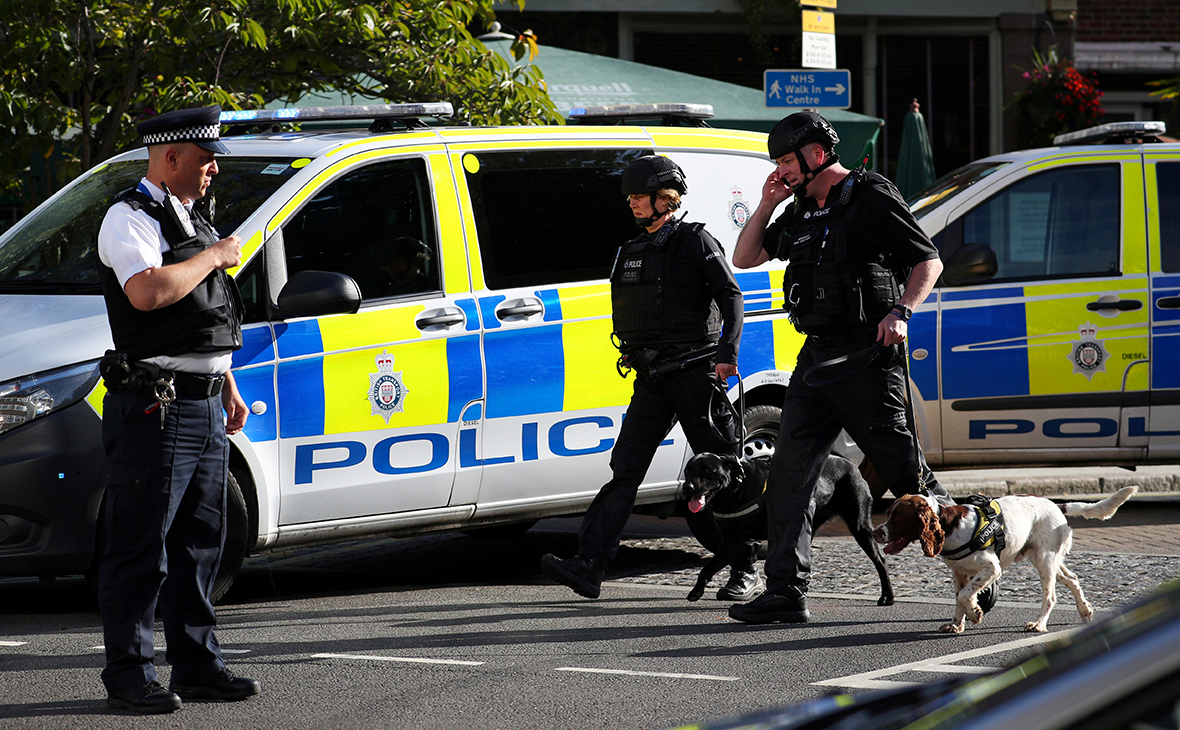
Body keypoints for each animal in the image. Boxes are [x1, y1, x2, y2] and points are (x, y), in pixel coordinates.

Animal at [684, 455, 892, 608]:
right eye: (687, 471)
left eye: (707, 471)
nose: (688, 487)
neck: (738, 488)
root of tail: (852, 465)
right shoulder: (730, 542)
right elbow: (708, 568)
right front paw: (697, 590)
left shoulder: (735, 544)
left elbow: (708, 566)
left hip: (860, 527)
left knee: (880, 561)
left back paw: (887, 597)